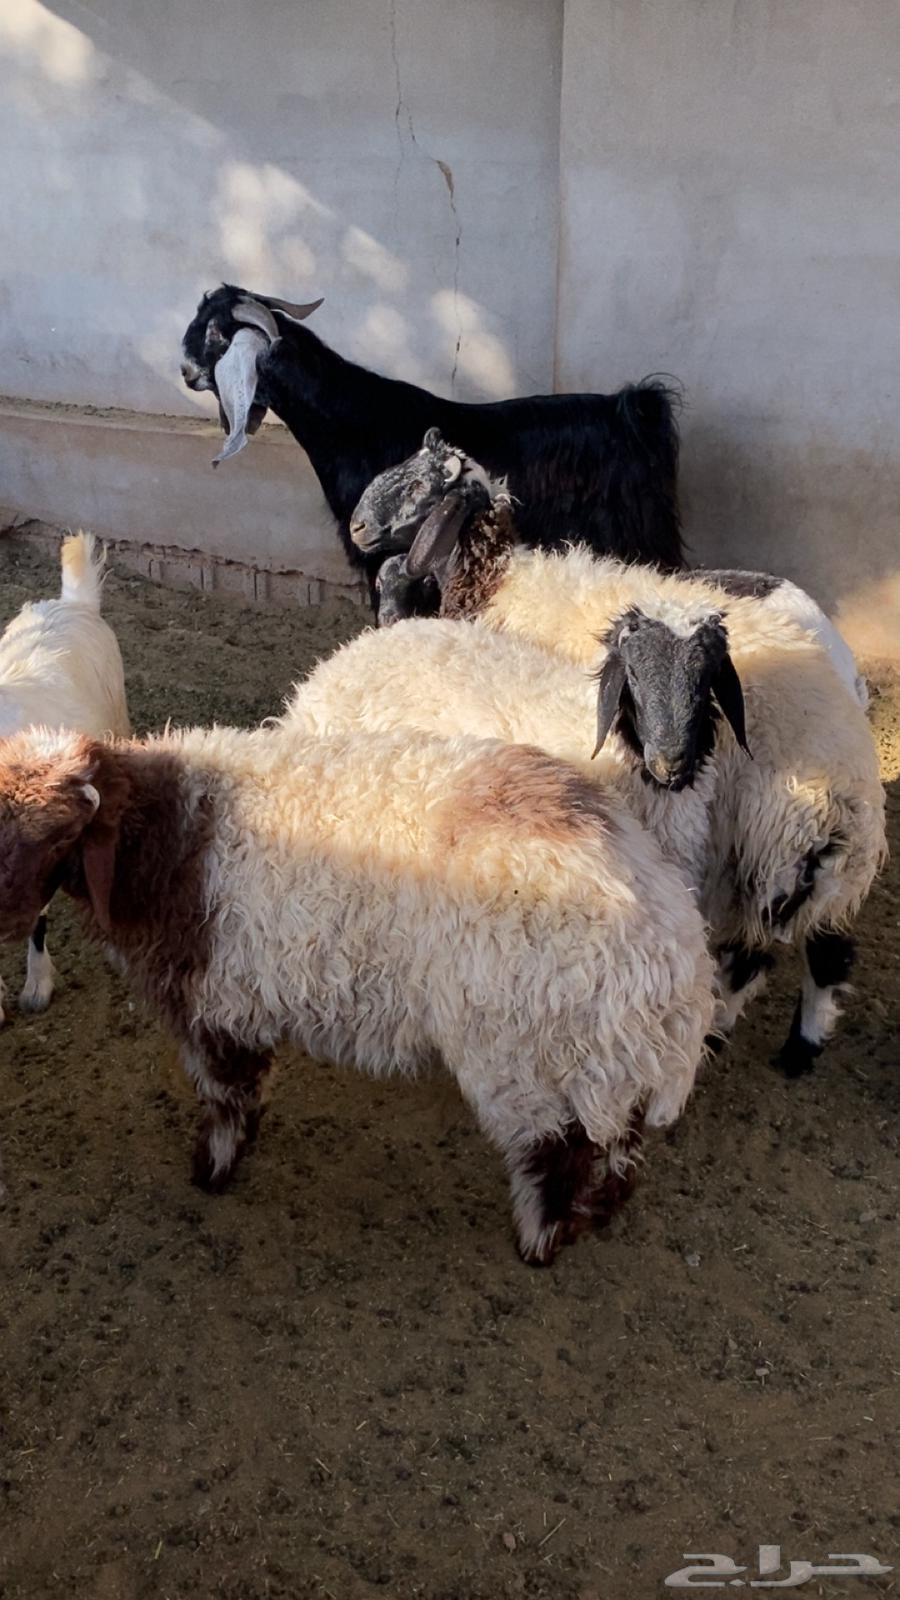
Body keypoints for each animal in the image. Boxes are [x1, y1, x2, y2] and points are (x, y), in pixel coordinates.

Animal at [0, 722, 715, 1264]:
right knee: (615, 1150)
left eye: (58, 836)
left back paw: (538, 1243)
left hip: (527, 1052)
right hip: (597, 1060)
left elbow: (228, 1096)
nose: (7, 921)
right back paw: (593, 1216)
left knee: (557, 1150)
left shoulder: (217, 1004)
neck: (170, 841)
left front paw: (212, 1172)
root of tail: (675, 946)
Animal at [348, 434, 886, 1074]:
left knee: (759, 958)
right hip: (816, 879)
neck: (497, 578)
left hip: (756, 858)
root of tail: (841, 800)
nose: (356, 527)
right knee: (827, 950)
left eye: (419, 485)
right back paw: (801, 1047)